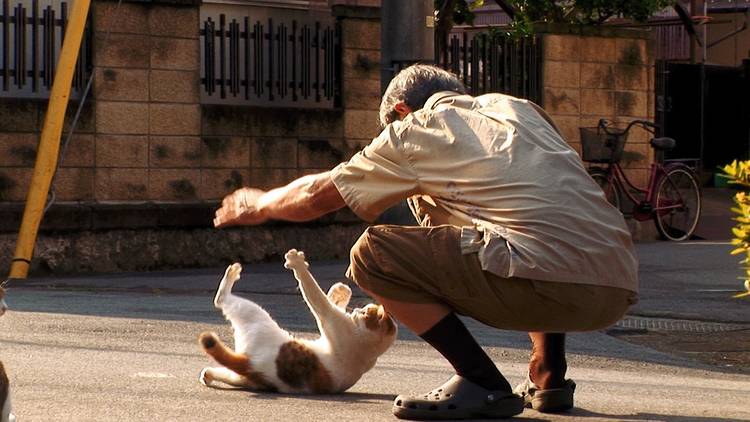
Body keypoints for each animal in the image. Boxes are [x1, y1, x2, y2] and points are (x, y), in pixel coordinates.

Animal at [200, 249, 400, 394]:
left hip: (254, 314)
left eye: (366, 312)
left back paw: (232, 274)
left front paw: (297, 263)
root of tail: (251, 367)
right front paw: (341, 290)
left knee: (220, 299)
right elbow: (330, 298)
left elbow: (314, 293)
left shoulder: (329, 316)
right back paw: (206, 375)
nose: (358, 310)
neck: (369, 349)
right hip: (239, 375)